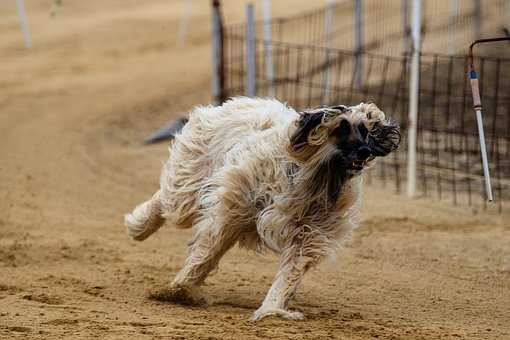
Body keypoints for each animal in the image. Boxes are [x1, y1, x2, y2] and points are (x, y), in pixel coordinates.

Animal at [123, 96, 398, 322]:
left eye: (364, 130)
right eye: (340, 128)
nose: (366, 151)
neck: (315, 176)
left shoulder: (310, 230)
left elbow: (291, 270)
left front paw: (273, 308)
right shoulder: (234, 206)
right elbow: (207, 250)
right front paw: (178, 288)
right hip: (192, 178)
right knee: (168, 200)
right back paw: (139, 226)